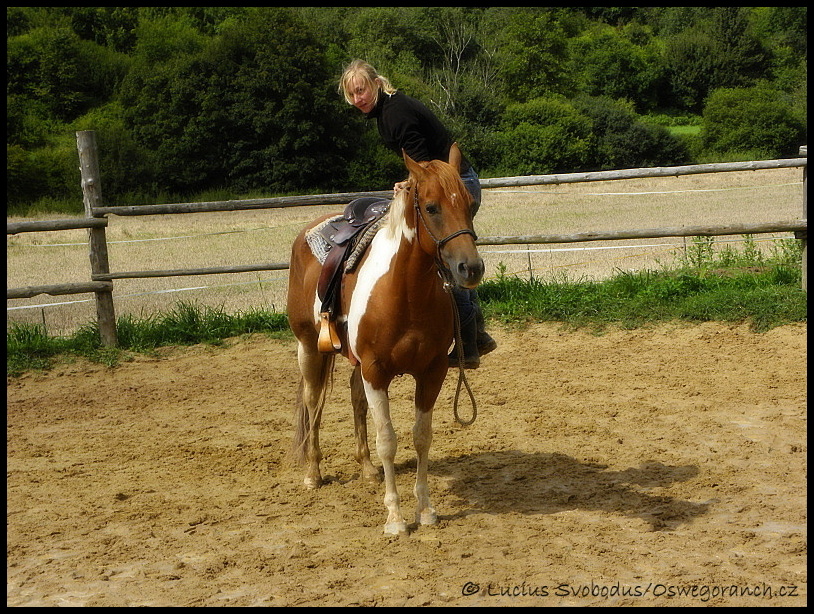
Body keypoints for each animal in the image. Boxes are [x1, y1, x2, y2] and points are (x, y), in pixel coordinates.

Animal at [286, 144, 484, 536]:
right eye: (431, 207)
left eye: (470, 204)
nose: (470, 268)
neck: (405, 292)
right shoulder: (376, 372)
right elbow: (388, 441)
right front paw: (395, 518)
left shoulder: (431, 372)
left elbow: (421, 436)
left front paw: (425, 510)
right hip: (309, 349)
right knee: (313, 403)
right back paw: (313, 473)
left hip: (355, 362)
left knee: (354, 398)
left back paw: (366, 470)